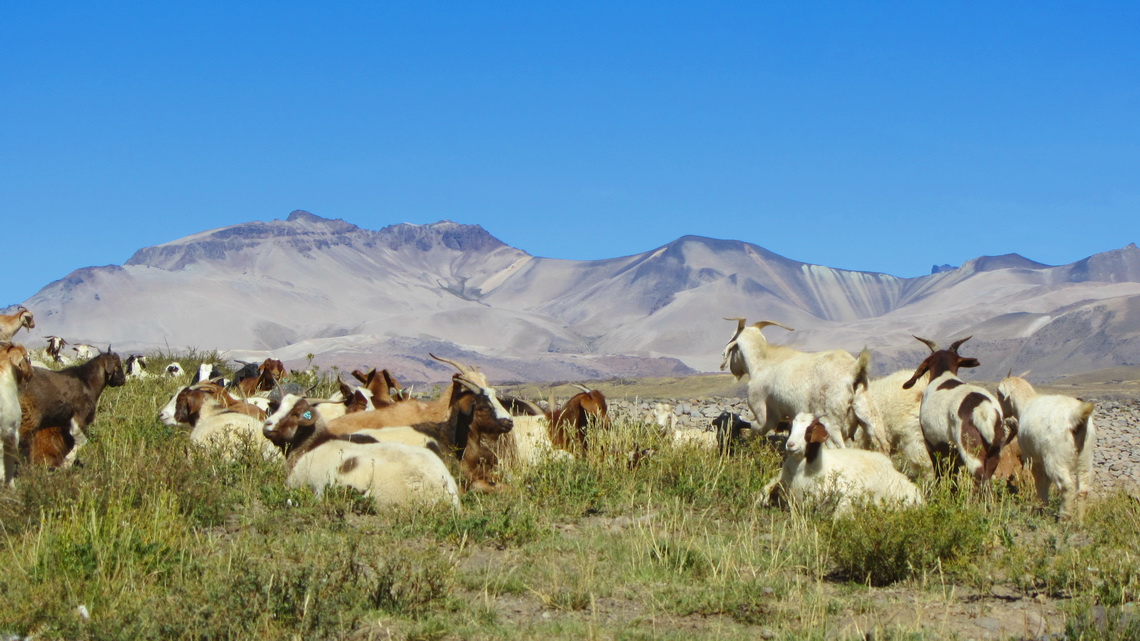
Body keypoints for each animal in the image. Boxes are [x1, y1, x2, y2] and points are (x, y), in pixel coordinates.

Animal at [720, 317, 889, 449]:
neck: (762, 361)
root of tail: (855, 370)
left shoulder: (763, 413)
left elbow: (755, 431)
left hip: (830, 422)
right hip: (869, 414)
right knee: (882, 444)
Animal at [998, 374, 1094, 520]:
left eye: (998, 393)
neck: (1026, 403)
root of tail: (1076, 417)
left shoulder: (1034, 459)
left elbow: (1040, 482)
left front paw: (1040, 506)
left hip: (1055, 459)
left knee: (1067, 487)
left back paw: (1064, 517)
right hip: (1085, 458)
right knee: (1083, 489)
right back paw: (1079, 520)